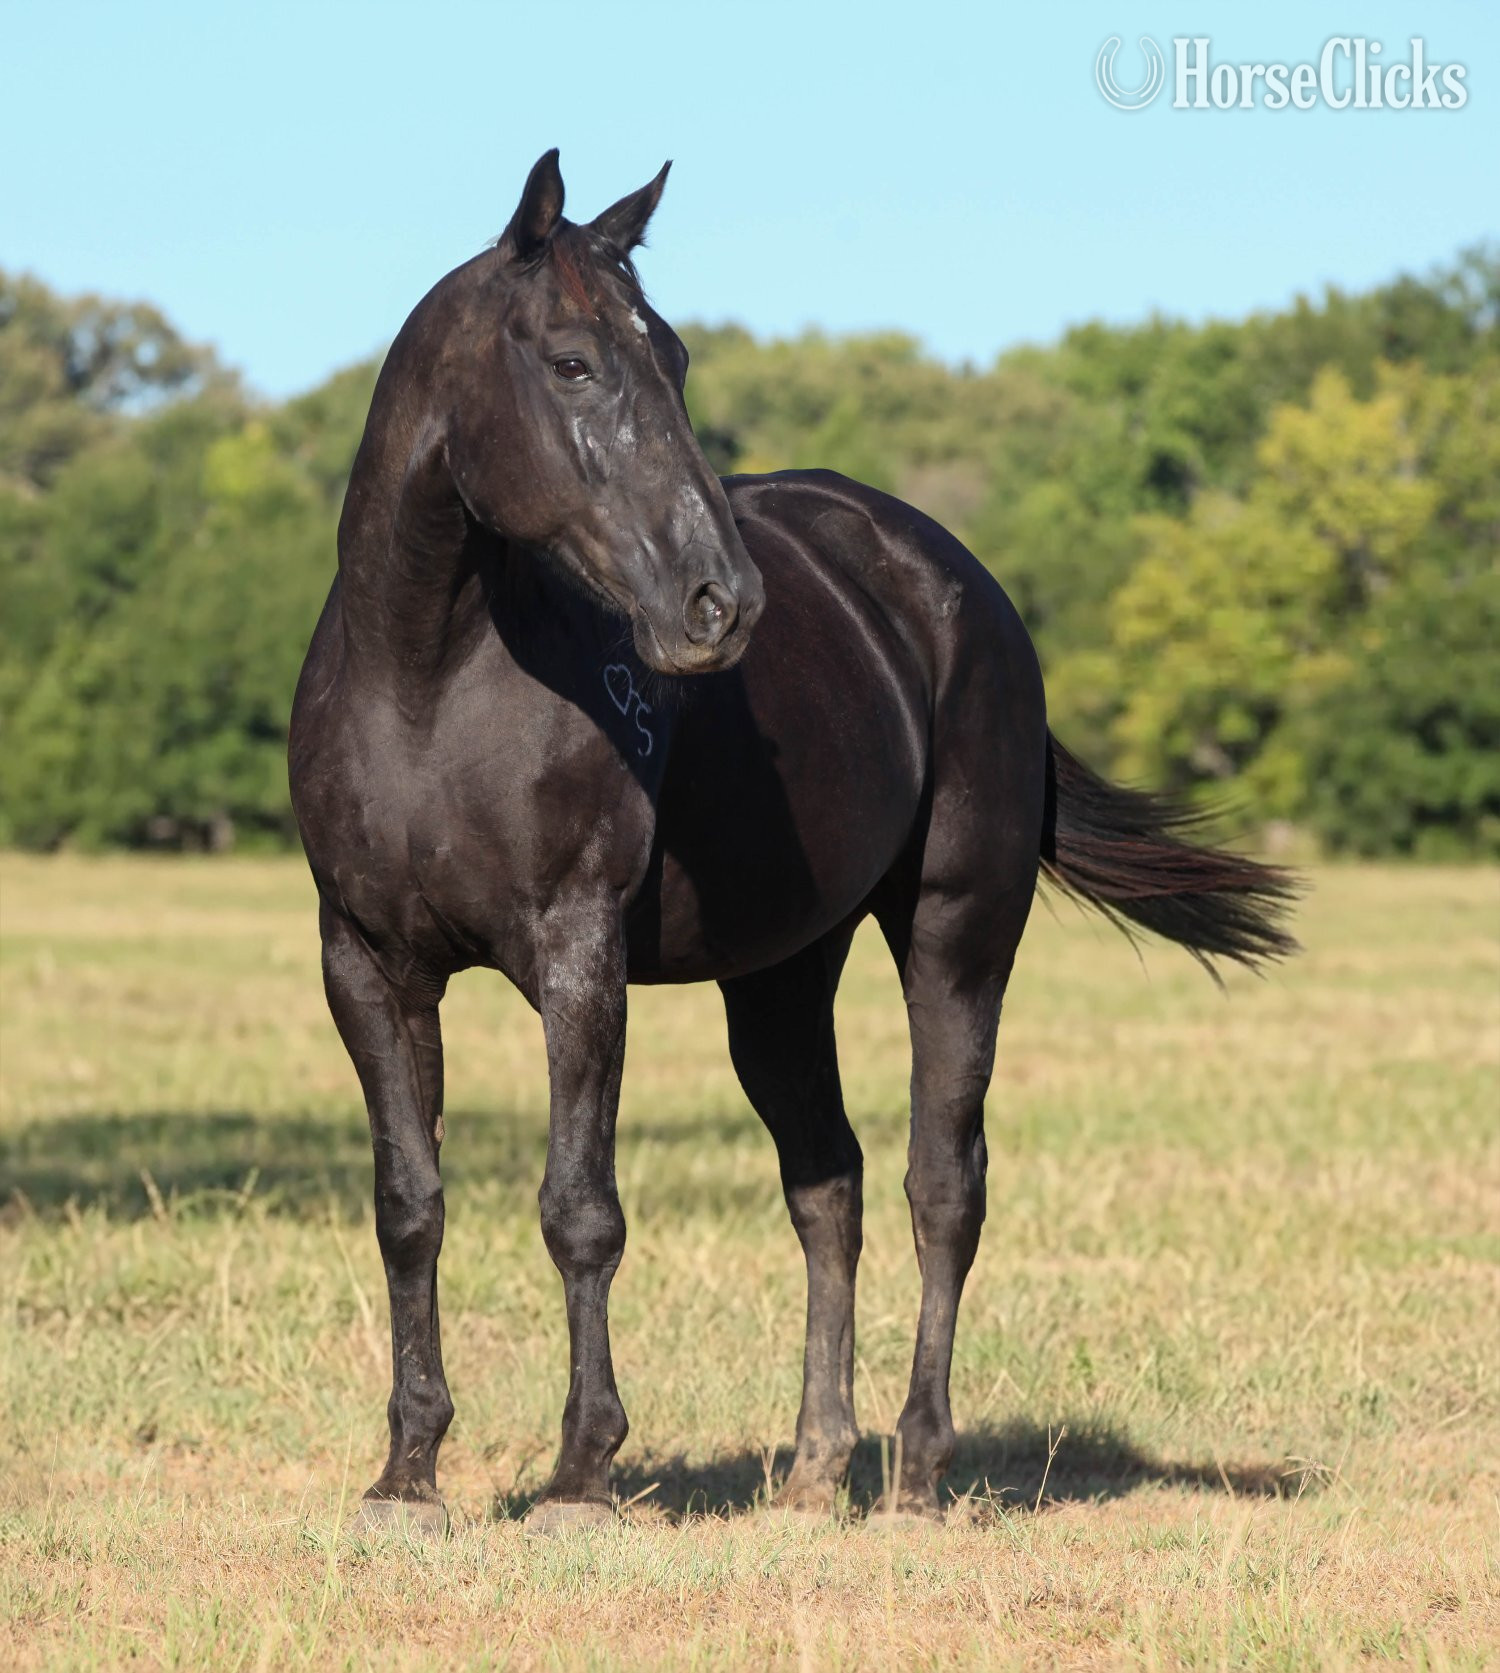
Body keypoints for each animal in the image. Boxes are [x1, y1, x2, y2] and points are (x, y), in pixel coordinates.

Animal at [288, 150, 1296, 1536]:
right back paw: (818, 1464)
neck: (426, 682)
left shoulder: (580, 958)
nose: (722, 601)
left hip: (956, 938)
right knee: (830, 1183)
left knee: (943, 1182)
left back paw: (918, 1465)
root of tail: (959, 585)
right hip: (776, 978)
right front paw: (407, 1474)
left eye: (676, 356)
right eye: (573, 362)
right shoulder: (368, 964)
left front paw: (580, 1473)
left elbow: (578, 1208)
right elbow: (409, 1205)